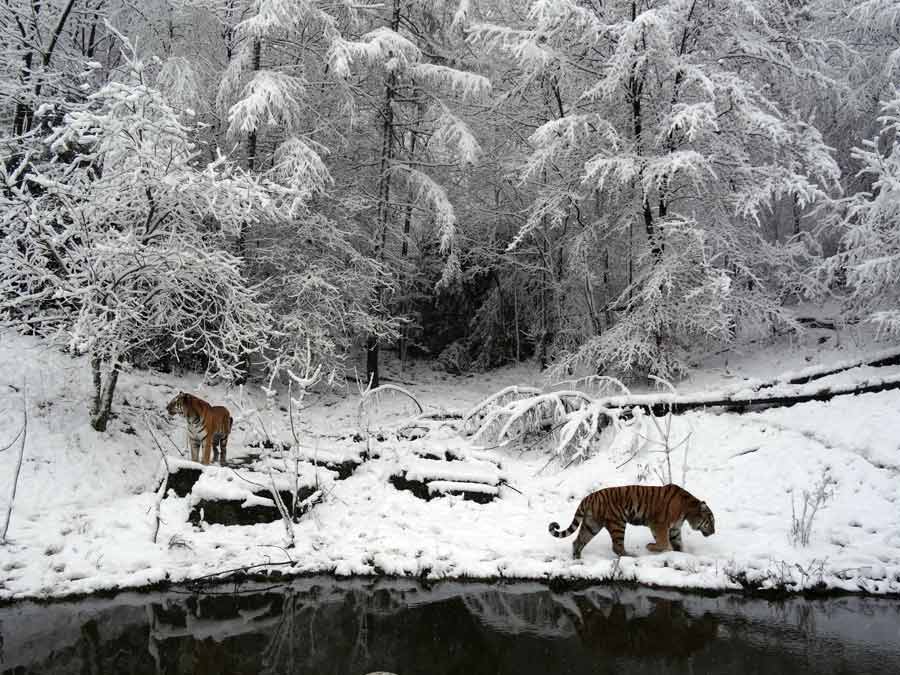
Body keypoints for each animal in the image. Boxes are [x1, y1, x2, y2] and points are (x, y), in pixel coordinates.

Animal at [548, 486, 716, 560]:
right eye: (711, 522)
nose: (714, 532)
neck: (688, 509)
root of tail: (588, 497)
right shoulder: (659, 524)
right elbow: (663, 543)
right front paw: (651, 547)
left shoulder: (674, 529)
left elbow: (678, 545)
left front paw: (682, 554)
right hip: (618, 523)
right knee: (617, 547)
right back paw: (631, 555)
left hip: (592, 524)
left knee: (577, 541)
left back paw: (577, 559)